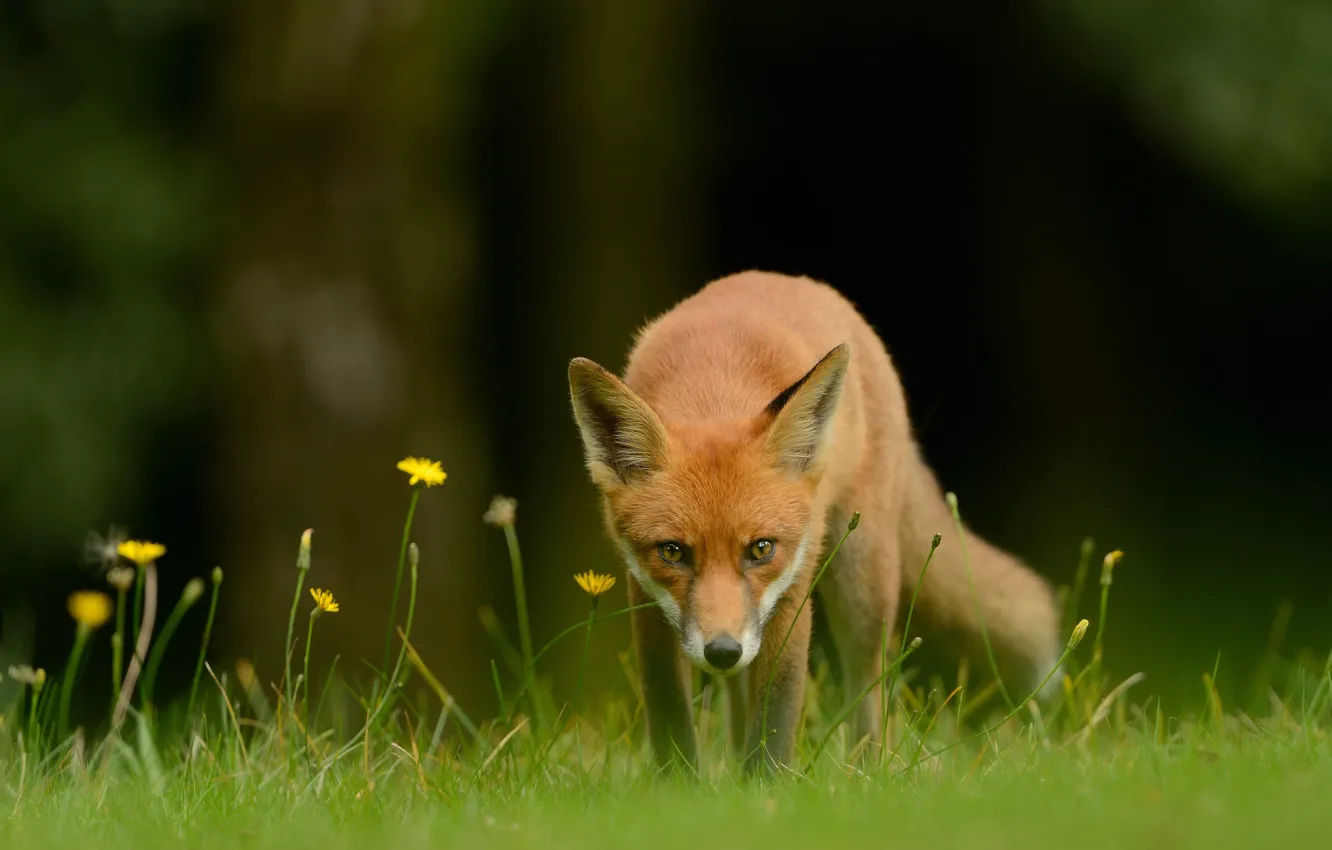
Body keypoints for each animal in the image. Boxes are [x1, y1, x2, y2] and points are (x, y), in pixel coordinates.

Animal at [564, 271, 1060, 772]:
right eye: (673, 552)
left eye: (761, 548)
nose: (722, 651)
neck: (715, 389)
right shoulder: (647, 599)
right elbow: (670, 717)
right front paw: (684, 785)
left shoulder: (792, 587)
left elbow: (776, 716)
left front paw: (765, 785)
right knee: (739, 698)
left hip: (862, 581)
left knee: (869, 683)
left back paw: (868, 771)